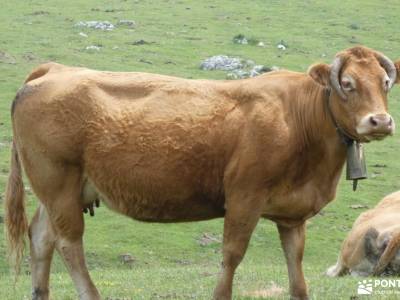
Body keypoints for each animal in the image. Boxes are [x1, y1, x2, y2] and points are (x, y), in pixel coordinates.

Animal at [3, 45, 400, 300]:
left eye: (385, 83)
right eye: (347, 84)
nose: (380, 121)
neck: (299, 118)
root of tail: (55, 70)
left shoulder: (292, 214)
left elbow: (296, 267)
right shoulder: (244, 197)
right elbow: (232, 255)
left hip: (59, 191)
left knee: (41, 237)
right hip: (58, 183)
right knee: (69, 244)